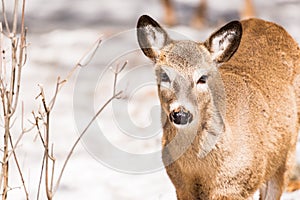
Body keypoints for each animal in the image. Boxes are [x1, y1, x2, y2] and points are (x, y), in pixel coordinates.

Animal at [137, 14, 300, 200]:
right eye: (164, 76)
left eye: (202, 78)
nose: (181, 114)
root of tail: (266, 23)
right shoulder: (181, 188)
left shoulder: (237, 186)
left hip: (285, 155)